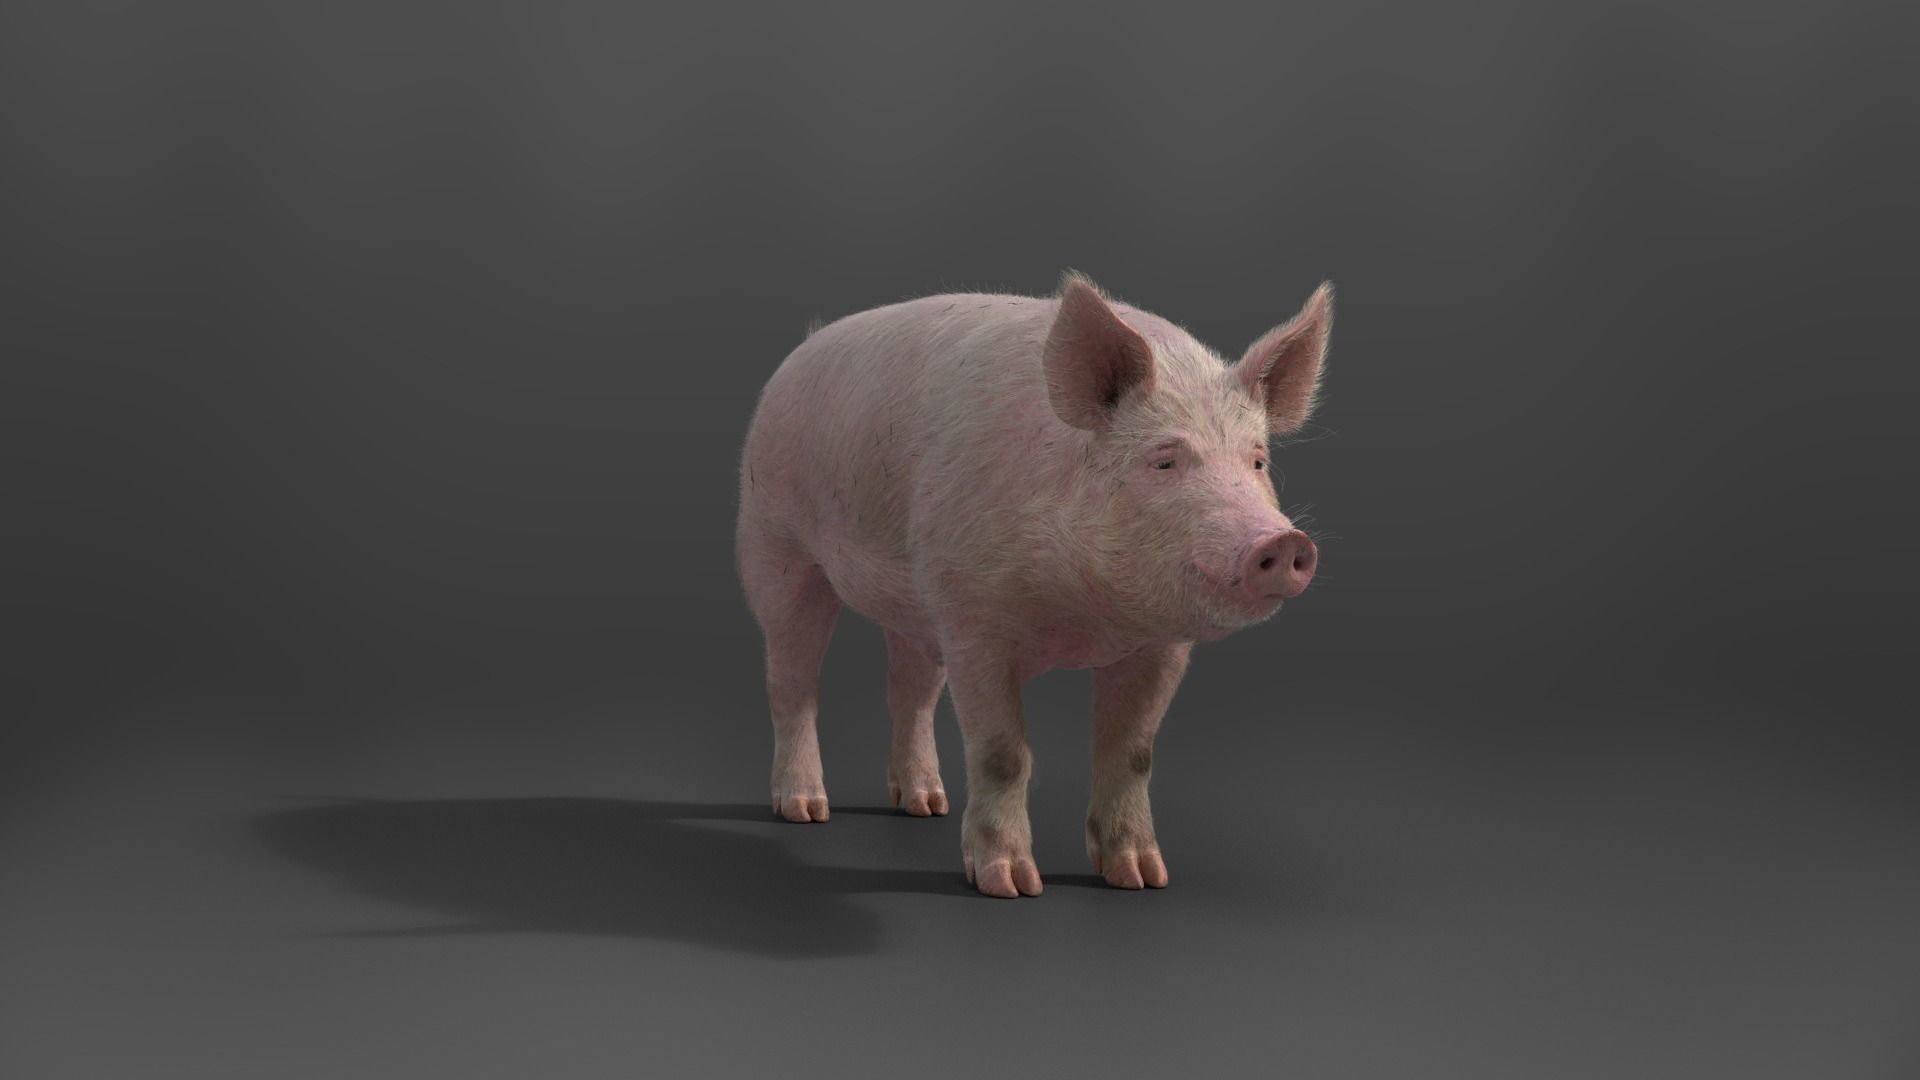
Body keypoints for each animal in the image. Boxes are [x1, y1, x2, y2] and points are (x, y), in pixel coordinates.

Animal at [735, 272, 1332, 898]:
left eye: (1257, 461)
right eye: (1164, 461)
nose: (1283, 541)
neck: (1088, 621)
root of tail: (802, 348)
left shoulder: (1161, 645)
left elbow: (1133, 753)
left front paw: (1142, 879)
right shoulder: (973, 616)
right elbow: (1002, 754)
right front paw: (1011, 885)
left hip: (915, 603)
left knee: (911, 690)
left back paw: (926, 805)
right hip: (774, 544)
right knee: (792, 680)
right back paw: (805, 810)